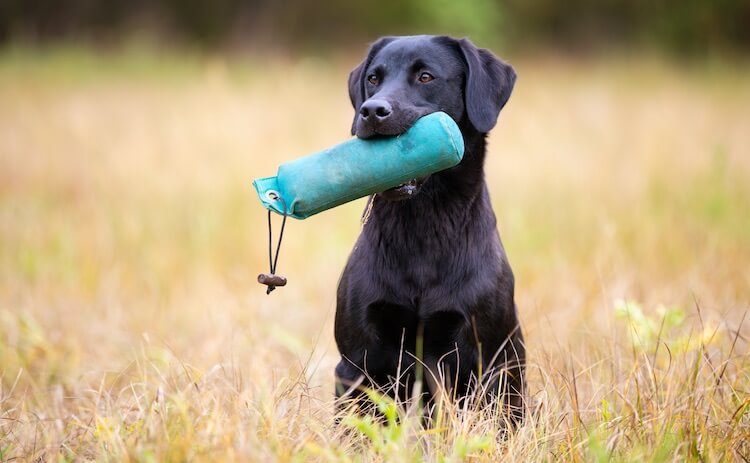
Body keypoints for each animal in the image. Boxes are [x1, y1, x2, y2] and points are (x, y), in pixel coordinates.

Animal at [338, 34, 524, 422]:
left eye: (426, 77)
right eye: (373, 79)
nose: (372, 111)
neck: (422, 227)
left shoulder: (485, 360)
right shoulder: (355, 363)